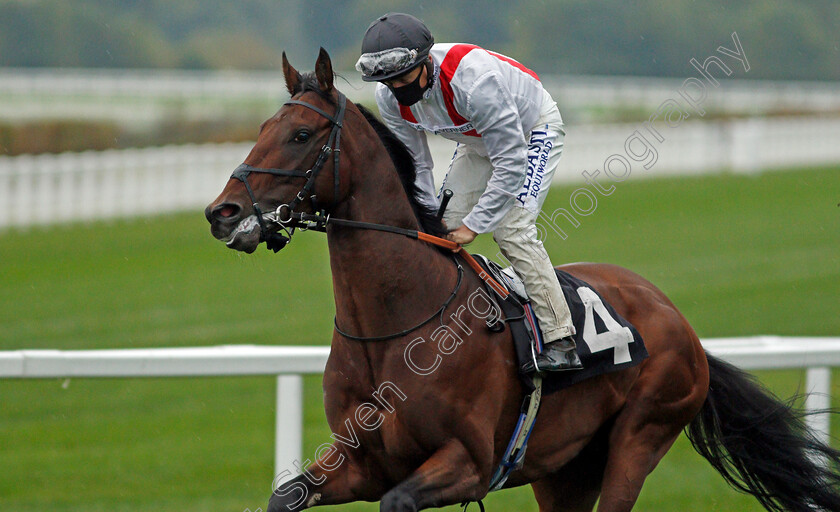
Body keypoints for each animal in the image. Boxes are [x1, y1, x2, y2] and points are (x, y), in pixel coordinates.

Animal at [205, 49, 840, 512]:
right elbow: (286, 495)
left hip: (641, 435)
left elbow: (399, 501)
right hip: (564, 468)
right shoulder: (362, 461)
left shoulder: (468, 462)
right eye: (263, 125)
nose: (222, 213)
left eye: (301, 135)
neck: (395, 324)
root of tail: (678, 320)